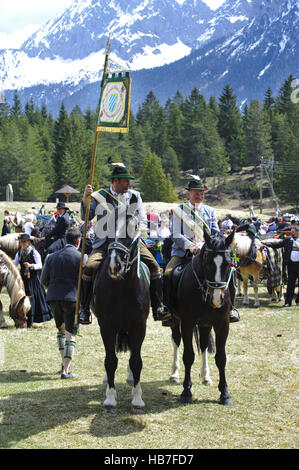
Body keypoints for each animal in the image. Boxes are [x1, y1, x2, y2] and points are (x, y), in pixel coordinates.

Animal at [92, 206, 151, 414]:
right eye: (106, 226)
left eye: (134, 227)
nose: (114, 265)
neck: (122, 288)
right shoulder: (106, 326)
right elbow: (110, 360)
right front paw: (110, 399)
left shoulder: (139, 326)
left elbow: (136, 361)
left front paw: (138, 400)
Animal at [168, 228, 236, 404]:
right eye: (207, 263)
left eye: (228, 263)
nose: (217, 300)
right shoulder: (187, 322)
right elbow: (188, 356)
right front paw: (186, 391)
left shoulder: (222, 324)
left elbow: (221, 358)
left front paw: (225, 393)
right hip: (175, 321)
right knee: (176, 341)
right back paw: (174, 374)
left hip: (205, 324)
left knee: (204, 344)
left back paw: (206, 376)